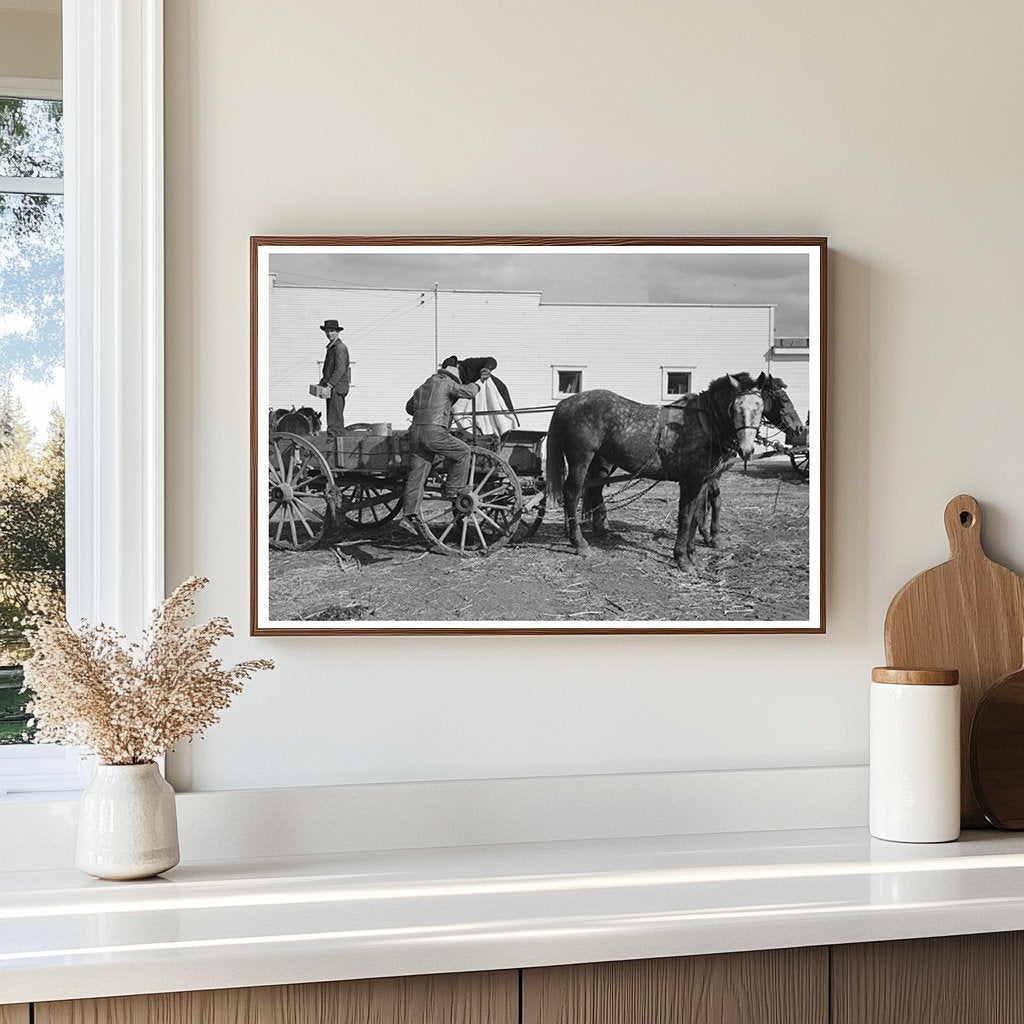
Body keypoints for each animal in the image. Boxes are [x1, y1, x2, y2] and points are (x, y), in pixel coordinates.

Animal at [548, 374, 765, 573]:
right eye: (735, 408)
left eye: (760, 408)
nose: (747, 450)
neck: (703, 421)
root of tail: (565, 403)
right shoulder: (691, 481)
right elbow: (686, 518)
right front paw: (682, 558)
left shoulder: (704, 481)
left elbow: (696, 517)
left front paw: (693, 555)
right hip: (580, 460)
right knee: (572, 494)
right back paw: (579, 543)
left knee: (591, 493)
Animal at [696, 368, 806, 544]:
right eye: (783, 399)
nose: (800, 428)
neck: (711, 420)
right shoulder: (710, 472)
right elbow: (711, 501)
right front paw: (710, 534)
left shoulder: (712, 473)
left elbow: (707, 501)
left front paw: (705, 533)